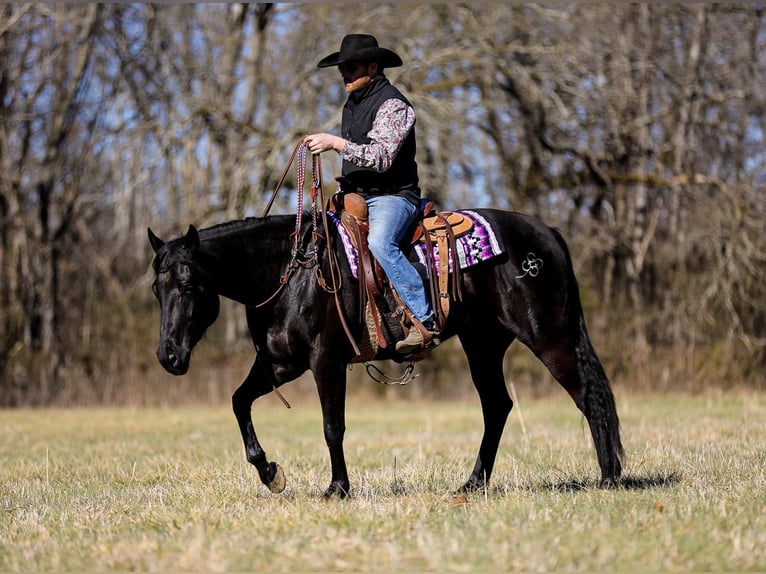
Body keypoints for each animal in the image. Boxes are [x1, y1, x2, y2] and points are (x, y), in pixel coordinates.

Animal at [148, 207, 624, 500]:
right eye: (157, 288)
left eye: (188, 286)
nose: (168, 357)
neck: (290, 273)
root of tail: (549, 234)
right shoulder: (281, 366)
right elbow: (238, 402)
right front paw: (270, 473)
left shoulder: (325, 361)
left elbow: (332, 427)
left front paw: (337, 488)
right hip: (483, 344)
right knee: (498, 406)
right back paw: (472, 484)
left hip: (550, 336)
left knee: (588, 398)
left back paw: (609, 478)